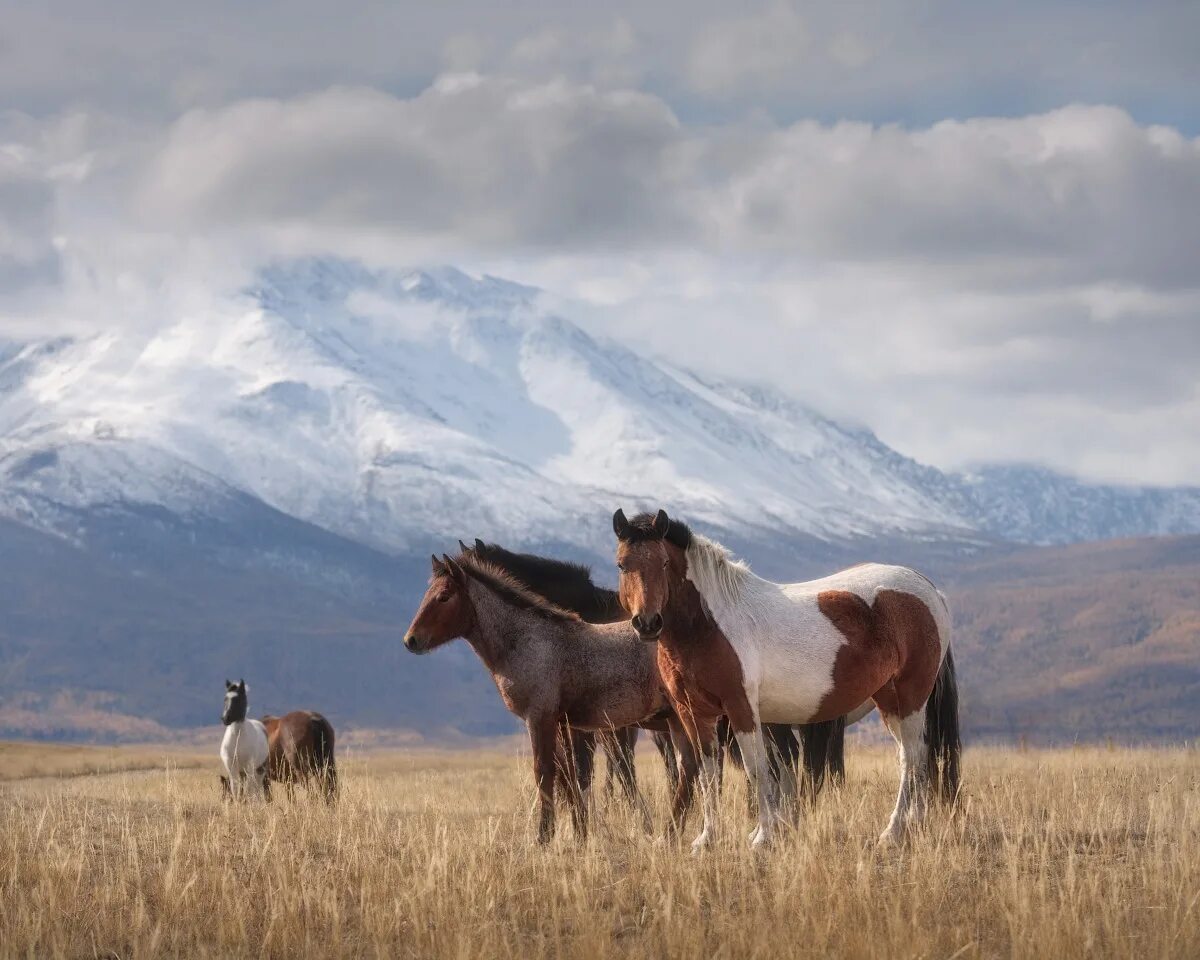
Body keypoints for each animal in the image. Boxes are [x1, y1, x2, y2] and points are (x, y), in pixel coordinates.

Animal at [219, 676, 271, 806]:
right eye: (225, 698)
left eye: (238, 699)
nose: (225, 718)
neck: (238, 739)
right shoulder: (231, 766)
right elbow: (235, 788)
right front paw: (238, 804)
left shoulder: (249, 765)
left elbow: (249, 789)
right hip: (243, 771)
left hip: (259, 769)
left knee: (256, 788)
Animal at [403, 552, 696, 844]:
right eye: (428, 594)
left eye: (444, 596)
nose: (411, 640)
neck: (529, 641)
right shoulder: (562, 724)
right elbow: (569, 776)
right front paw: (580, 834)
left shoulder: (540, 718)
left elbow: (545, 772)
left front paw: (544, 837)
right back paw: (672, 833)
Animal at [614, 508, 960, 849]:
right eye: (622, 565)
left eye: (663, 562)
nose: (648, 623)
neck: (708, 625)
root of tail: (927, 587)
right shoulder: (694, 713)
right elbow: (708, 775)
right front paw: (706, 839)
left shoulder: (741, 709)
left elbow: (758, 770)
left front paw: (763, 837)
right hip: (889, 701)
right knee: (913, 755)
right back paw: (914, 825)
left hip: (911, 696)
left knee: (912, 757)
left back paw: (894, 831)